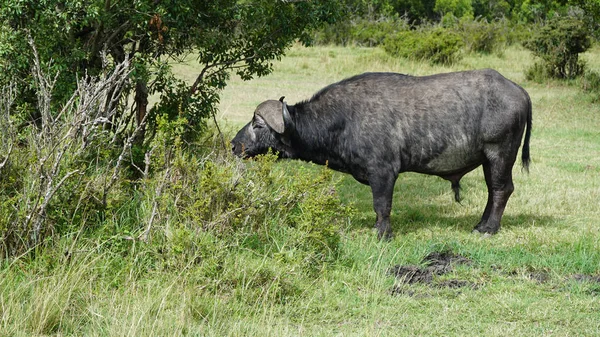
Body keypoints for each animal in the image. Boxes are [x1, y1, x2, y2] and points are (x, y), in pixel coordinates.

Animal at [232, 69, 532, 238]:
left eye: (258, 124)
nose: (234, 145)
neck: (344, 118)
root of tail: (518, 90)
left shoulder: (383, 172)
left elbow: (381, 205)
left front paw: (382, 233)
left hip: (500, 154)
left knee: (502, 189)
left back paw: (489, 229)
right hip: (487, 159)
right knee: (493, 191)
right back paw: (480, 224)